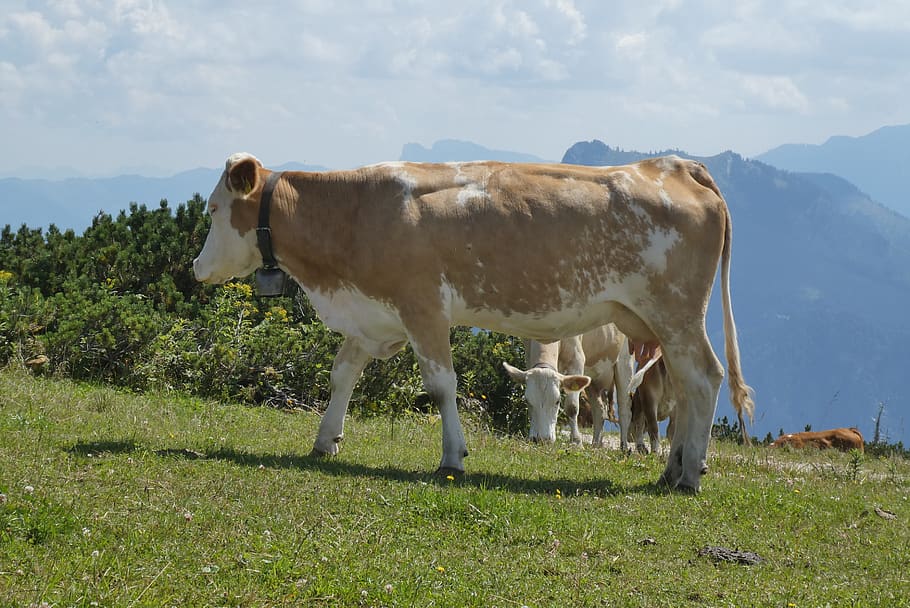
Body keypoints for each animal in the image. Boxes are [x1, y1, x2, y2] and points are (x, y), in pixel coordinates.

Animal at [503, 324, 634, 448]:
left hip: (624, 363)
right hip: (592, 378)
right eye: (527, 401)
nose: (542, 439)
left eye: (557, 401)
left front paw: (576, 442)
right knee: (599, 410)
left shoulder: (577, 360)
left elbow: (572, 407)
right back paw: (596, 445)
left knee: (624, 410)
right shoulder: (529, 356)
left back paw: (624, 447)